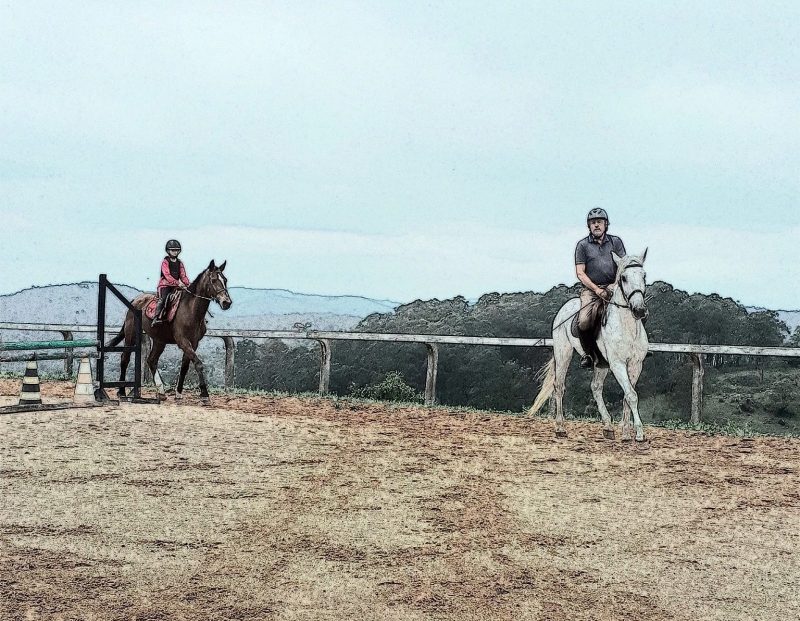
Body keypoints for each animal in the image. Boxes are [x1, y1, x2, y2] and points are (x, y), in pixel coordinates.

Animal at [108, 258, 231, 400]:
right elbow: (198, 364)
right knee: (125, 358)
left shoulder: (193, 343)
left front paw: (178, 392)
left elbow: (185, 366)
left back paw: (161, 391)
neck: (191, 310)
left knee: (151, 360)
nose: (227, 303)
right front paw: (204, 393)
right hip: (131, 335)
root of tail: (134, 301)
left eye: (225, 280)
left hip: (159, 340)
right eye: (213, 280)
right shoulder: (183, 341)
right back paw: (122, 391)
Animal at [532, 248, 648, 440]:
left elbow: (627, 395)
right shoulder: (617, 364)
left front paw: (625, 433)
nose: (639, 310)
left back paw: (608, 426)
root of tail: (565, 307)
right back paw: (560, 427)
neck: (627, 328)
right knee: (559, 386)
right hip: (563, 353)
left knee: (595, 387)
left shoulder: (635, 364)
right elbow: (631, 395)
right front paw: (639, 433)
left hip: (601, 364)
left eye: (644, 275)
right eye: (623, 277)